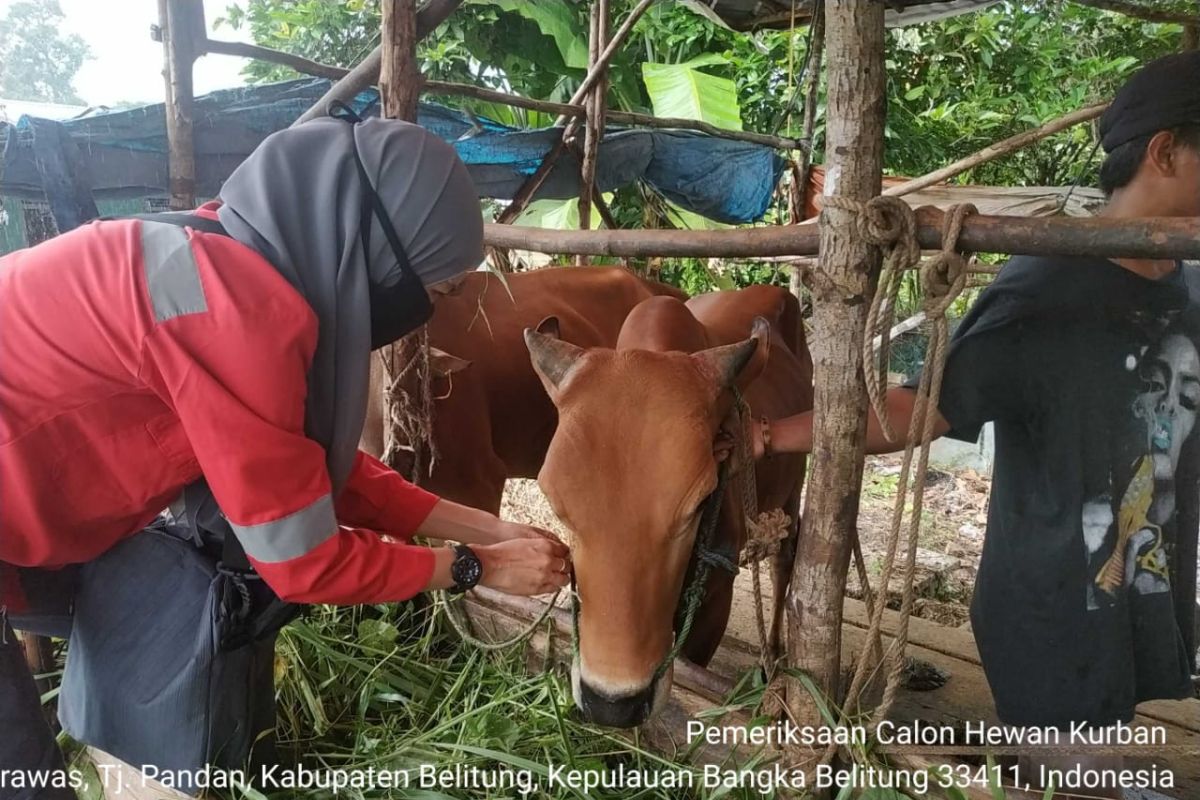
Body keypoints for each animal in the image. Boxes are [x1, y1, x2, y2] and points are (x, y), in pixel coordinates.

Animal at [528, 286, 816, 724]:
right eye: (558, 506)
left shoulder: (714, 605)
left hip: (792, 485)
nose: (613, 705)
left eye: (697, 504)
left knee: (784, 561)